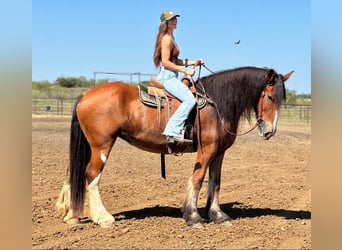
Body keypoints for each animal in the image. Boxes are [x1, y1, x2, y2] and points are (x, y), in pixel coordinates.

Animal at [56, 66, 294, 229]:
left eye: (282, 100)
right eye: (270, 97)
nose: (269, 131)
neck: (217, 105)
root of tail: (84, 96)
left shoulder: (219, 152)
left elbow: (215, 182)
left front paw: (218, 215)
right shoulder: (206, 150)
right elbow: (198, 179)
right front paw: (193, 216)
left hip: (89, 146)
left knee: (72, 172)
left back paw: (71, 215)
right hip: (102, 145)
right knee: (91, 175)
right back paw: (102, 217)